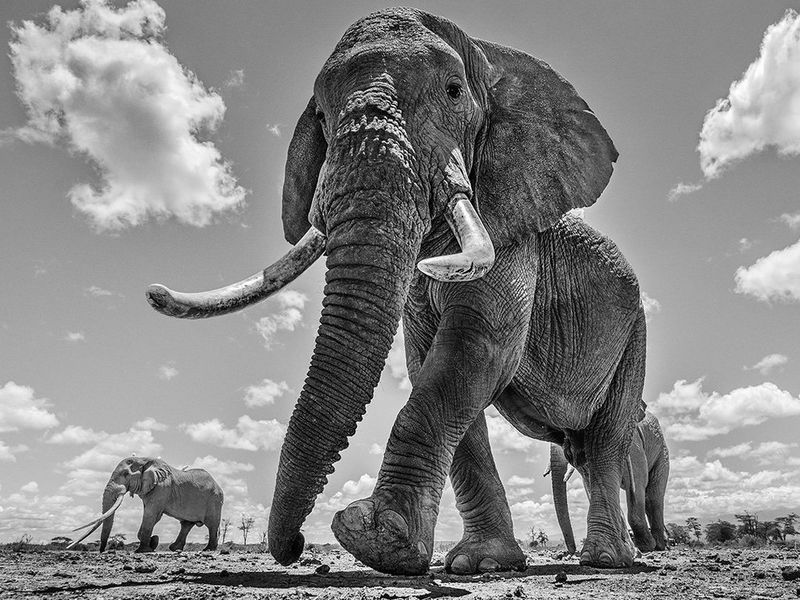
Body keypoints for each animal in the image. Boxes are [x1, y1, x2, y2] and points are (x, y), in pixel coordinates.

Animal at [69, 454, 223, 552]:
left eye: (125, 474)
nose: (102, 551)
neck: (144, 460)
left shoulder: (162, 488)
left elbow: (151, 514)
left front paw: (143, 550)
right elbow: (153, 516)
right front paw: (153, 542)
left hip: (214, 500)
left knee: (211, 524)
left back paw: (208, 549)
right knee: (186, 524)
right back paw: (174, 548)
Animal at [145, 7, 644, 576]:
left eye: (453, 91)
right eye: (320, 116)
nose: (294, 547)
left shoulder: (514, 236)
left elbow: (477, 349)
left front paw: (375, 540)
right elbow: (432, 361)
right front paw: (476, 564)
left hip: (635, 333)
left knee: (605, 441)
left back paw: (607, 561)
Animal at [548, 412, 664, 552]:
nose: (573, 550)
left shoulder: (633, 444)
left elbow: (638, 480)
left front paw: (646, 546)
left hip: (662, 451)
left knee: (654, 496)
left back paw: (660, 545)